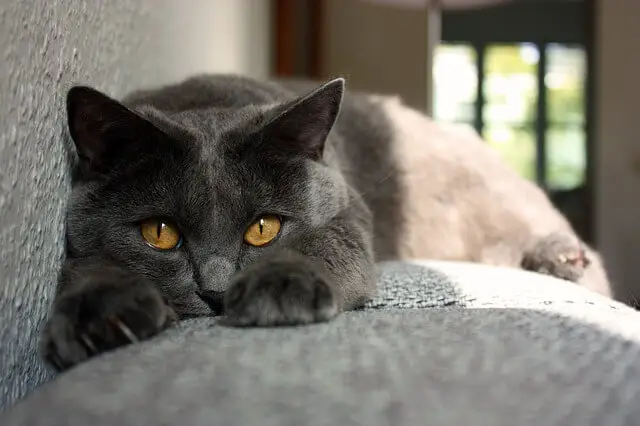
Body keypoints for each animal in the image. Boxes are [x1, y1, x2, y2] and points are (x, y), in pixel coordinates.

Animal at [41, 74, 608, 370]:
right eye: (160, 233)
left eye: (264, 229)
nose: (217, 293)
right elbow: (89, 264)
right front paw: (100, 314)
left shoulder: (348, 215)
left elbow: (322, 244)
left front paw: (277, 289)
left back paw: (563, 257)